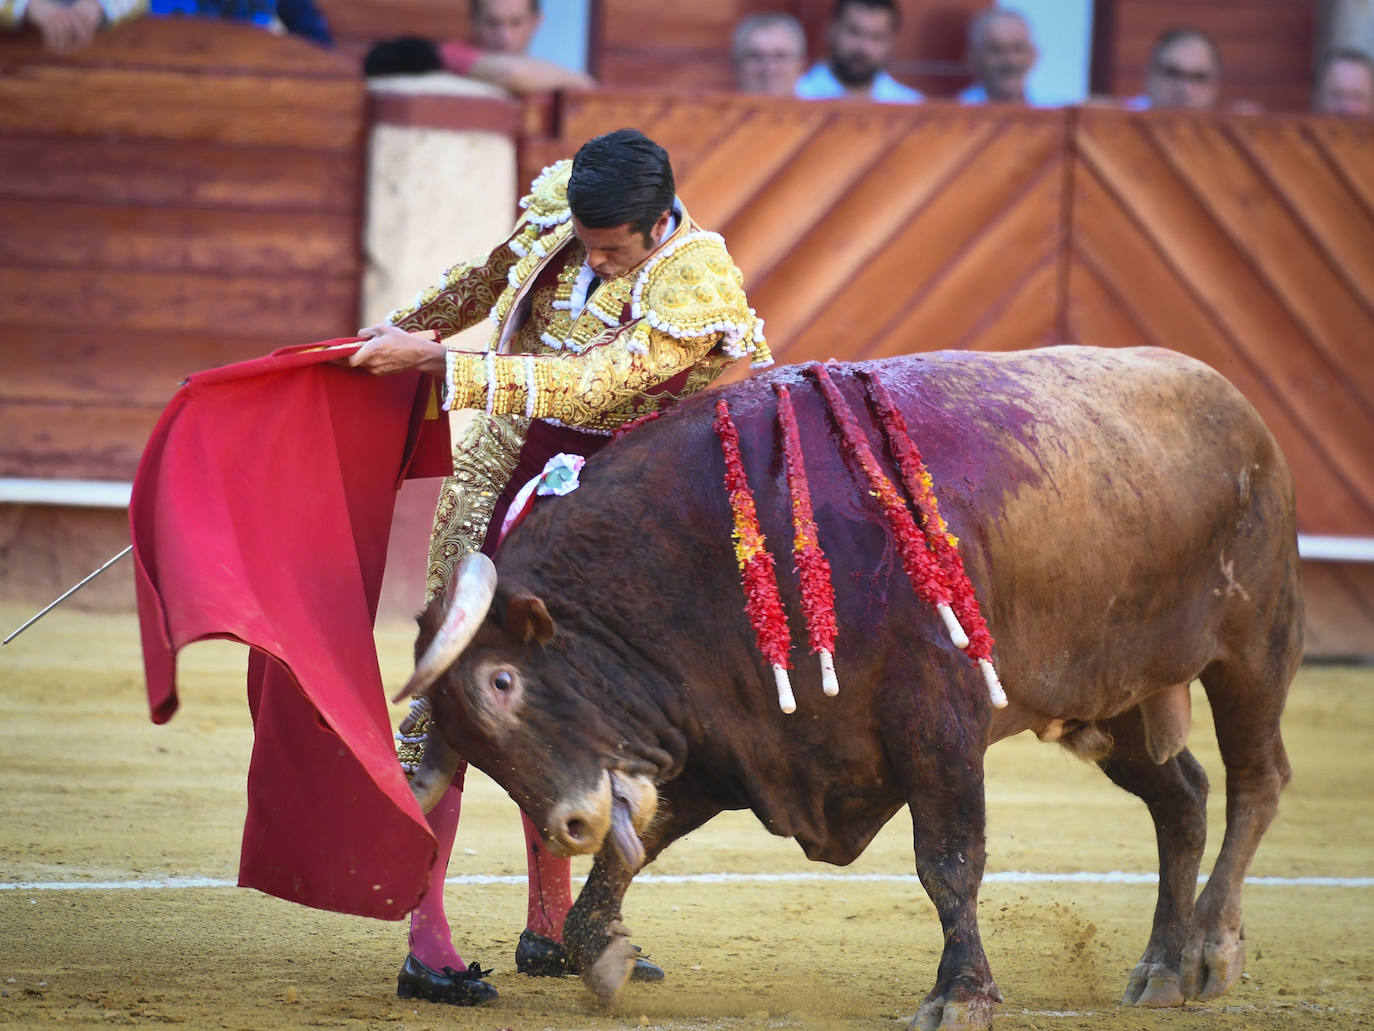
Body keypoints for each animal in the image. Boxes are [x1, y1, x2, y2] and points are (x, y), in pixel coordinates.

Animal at [395, 347, 1297, 1031]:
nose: (571, 824)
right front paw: (604, 951)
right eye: (465, 741)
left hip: (1254, 648)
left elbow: (948, 859)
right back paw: (1161, 967)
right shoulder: (735, 743)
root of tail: (1239, 405)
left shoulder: (938, 720)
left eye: (504, 680)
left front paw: (961, 996)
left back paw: (1211, 949)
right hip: (1113, 702)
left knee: (1258, 778)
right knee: (1182, 796)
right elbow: (638, 844)